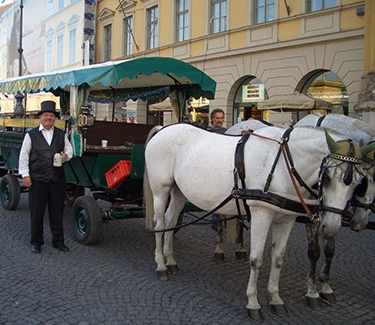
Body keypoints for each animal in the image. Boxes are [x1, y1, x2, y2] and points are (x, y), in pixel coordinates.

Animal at [143, 124, 364, 318]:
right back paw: (161, 265)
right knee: (160, 224)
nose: (331, 226)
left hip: (179, 192)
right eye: (327, 177)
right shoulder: (261, 214)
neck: (282, 165)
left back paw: (171, 261)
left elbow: (278, 258)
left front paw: (275, 299)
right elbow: (256, 259)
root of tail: (163, 129)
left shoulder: (287, 218)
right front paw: (253, 303)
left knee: (171, 221)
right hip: (161, 190)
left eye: (358, 184)